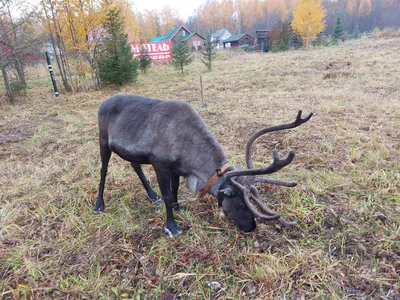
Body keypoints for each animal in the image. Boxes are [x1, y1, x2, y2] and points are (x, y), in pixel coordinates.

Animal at [94, 95, 312, 236]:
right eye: (240, 203)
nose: (251, 227)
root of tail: (102, 102)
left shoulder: (177, 167)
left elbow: (175, 188)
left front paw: (177, 207)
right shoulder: (161, 164)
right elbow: (167, 194)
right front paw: (172, 227)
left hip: (131, 152)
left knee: (135, 165)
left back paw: (152, 195)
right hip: (103, 140)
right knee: (103, 170)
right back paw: (99, 204)